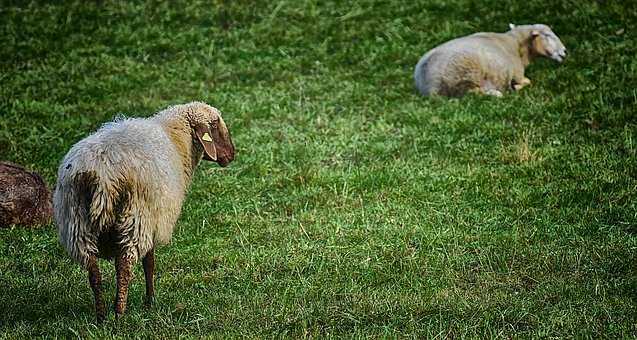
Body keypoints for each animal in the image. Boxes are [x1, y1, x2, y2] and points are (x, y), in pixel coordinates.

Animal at [52, 101, 236, 322]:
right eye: (215, 126)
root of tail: (100, 174)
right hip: (135, 219)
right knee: (125, 266)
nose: (231, 155)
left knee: (93, 271)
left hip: (77, 223)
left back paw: (102, 315)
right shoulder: (154, 220)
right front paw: (150, 301)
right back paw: (119, 313)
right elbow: (150, 263)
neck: (176, 137)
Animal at [412, 22, 568, 97]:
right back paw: (495, 93)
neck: (515, 44)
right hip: (465, 76)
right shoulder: (518, 74)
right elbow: (527, 81)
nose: (565, 51)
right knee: (469, 93)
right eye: (548, 35)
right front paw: (515, 87)